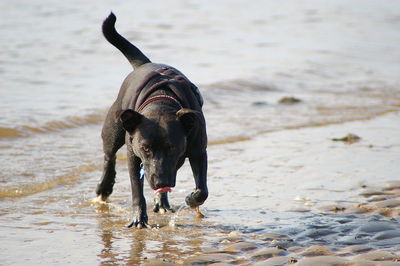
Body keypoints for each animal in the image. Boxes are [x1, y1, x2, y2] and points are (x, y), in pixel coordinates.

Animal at [96, 13, 208, 229]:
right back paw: (104, 187)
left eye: (172, 147)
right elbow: (136, 190)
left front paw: (191, 199)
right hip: (114, 128)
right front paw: (139, 218)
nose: (159, 182)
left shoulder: (197, 151)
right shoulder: (134, 156)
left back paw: (162, 201)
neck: (161, 102)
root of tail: (144, 64)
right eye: (146, 148)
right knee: (109, 156)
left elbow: (202, 190)